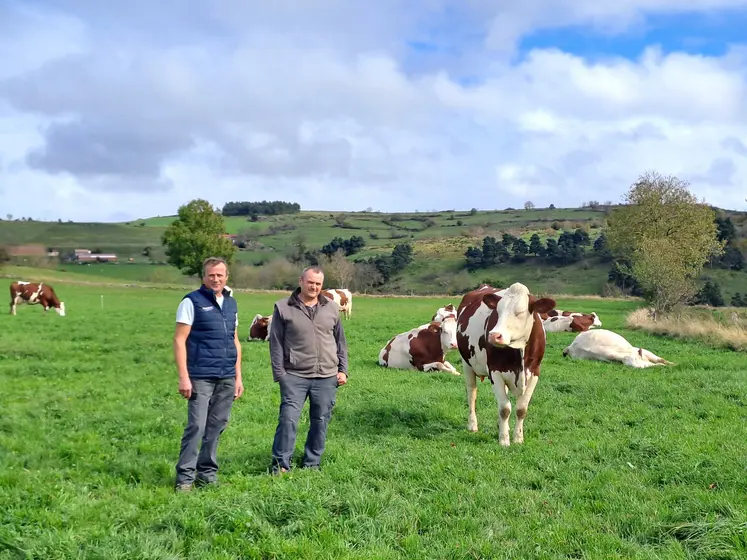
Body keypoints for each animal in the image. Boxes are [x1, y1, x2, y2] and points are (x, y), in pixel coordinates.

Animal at [456, 284, 556, 446]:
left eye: (520, 312)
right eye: (498, 311)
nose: (494, 335)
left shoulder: (535, 372)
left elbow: (521, 409)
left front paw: (518, 438)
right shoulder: (495, 371)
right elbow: (504, 408)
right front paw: (504, 440)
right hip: (467, 364)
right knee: (471, 393)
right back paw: (472, 425)